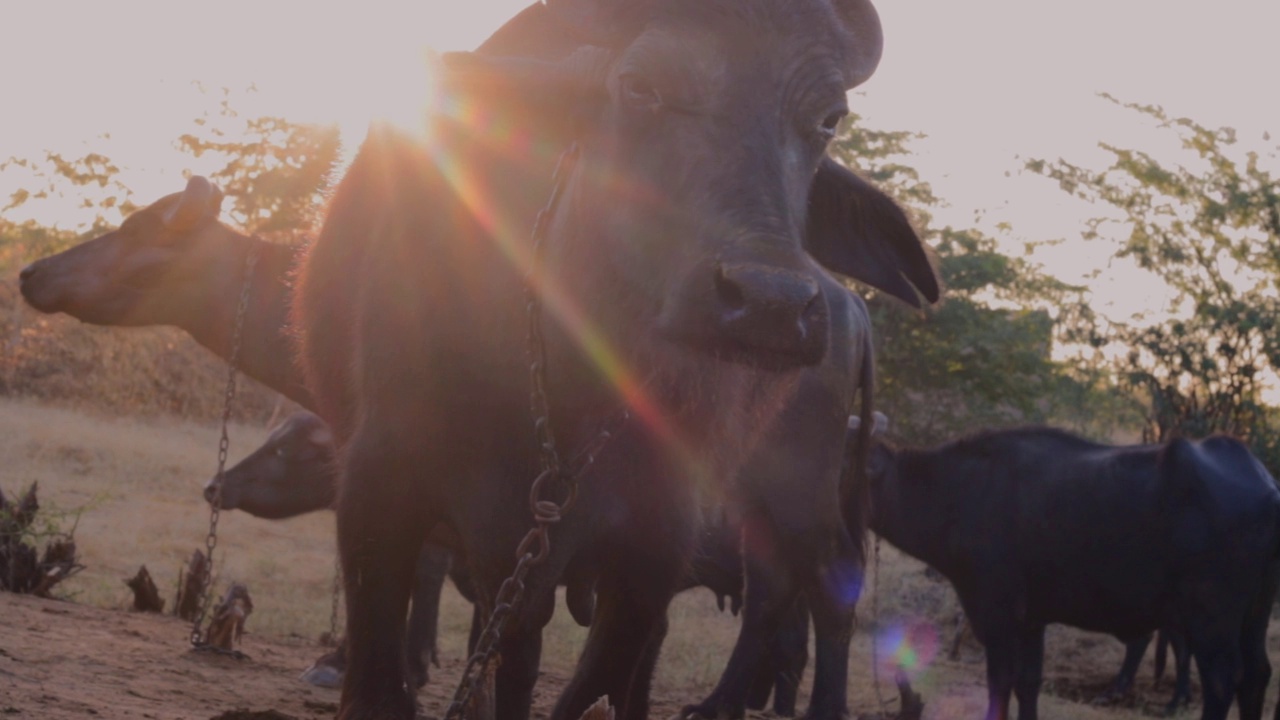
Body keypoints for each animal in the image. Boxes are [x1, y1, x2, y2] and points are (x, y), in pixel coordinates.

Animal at [294, 2, 942, 712]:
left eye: (829, 119)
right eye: (638, 87)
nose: (771, 303)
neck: (564, 387)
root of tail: (850, 304)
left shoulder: (655, 542)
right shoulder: (378, 491)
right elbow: (399, 681)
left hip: (793, 488)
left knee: (813, 583)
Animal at [860, 425, 1280, 717]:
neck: (958, 493)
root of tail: (1266, 487)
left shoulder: (995, 614)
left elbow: (1000, 683)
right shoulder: (1031, 621)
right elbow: (1028, 684)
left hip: (1210, 616)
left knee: (1222, 679)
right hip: (1253, 614)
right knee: (1256, 675)